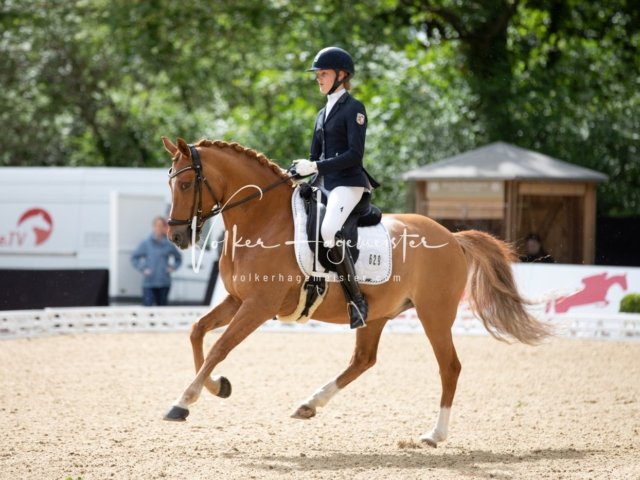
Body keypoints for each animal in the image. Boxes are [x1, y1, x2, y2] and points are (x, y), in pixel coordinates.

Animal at [160, 137, 551, 447]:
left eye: (185, 185)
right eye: (170, 185)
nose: (177, 237)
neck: (264, 219)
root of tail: (452, 238)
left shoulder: (258, 305)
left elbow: (220, 347)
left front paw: (183, 401)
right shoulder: (238, 299)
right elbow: (197, 332)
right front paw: (217, 387)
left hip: (434, 314)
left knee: (449, 367)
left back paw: (434, 435)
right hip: (376, 314)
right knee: (363, 359)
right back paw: (309, 404)